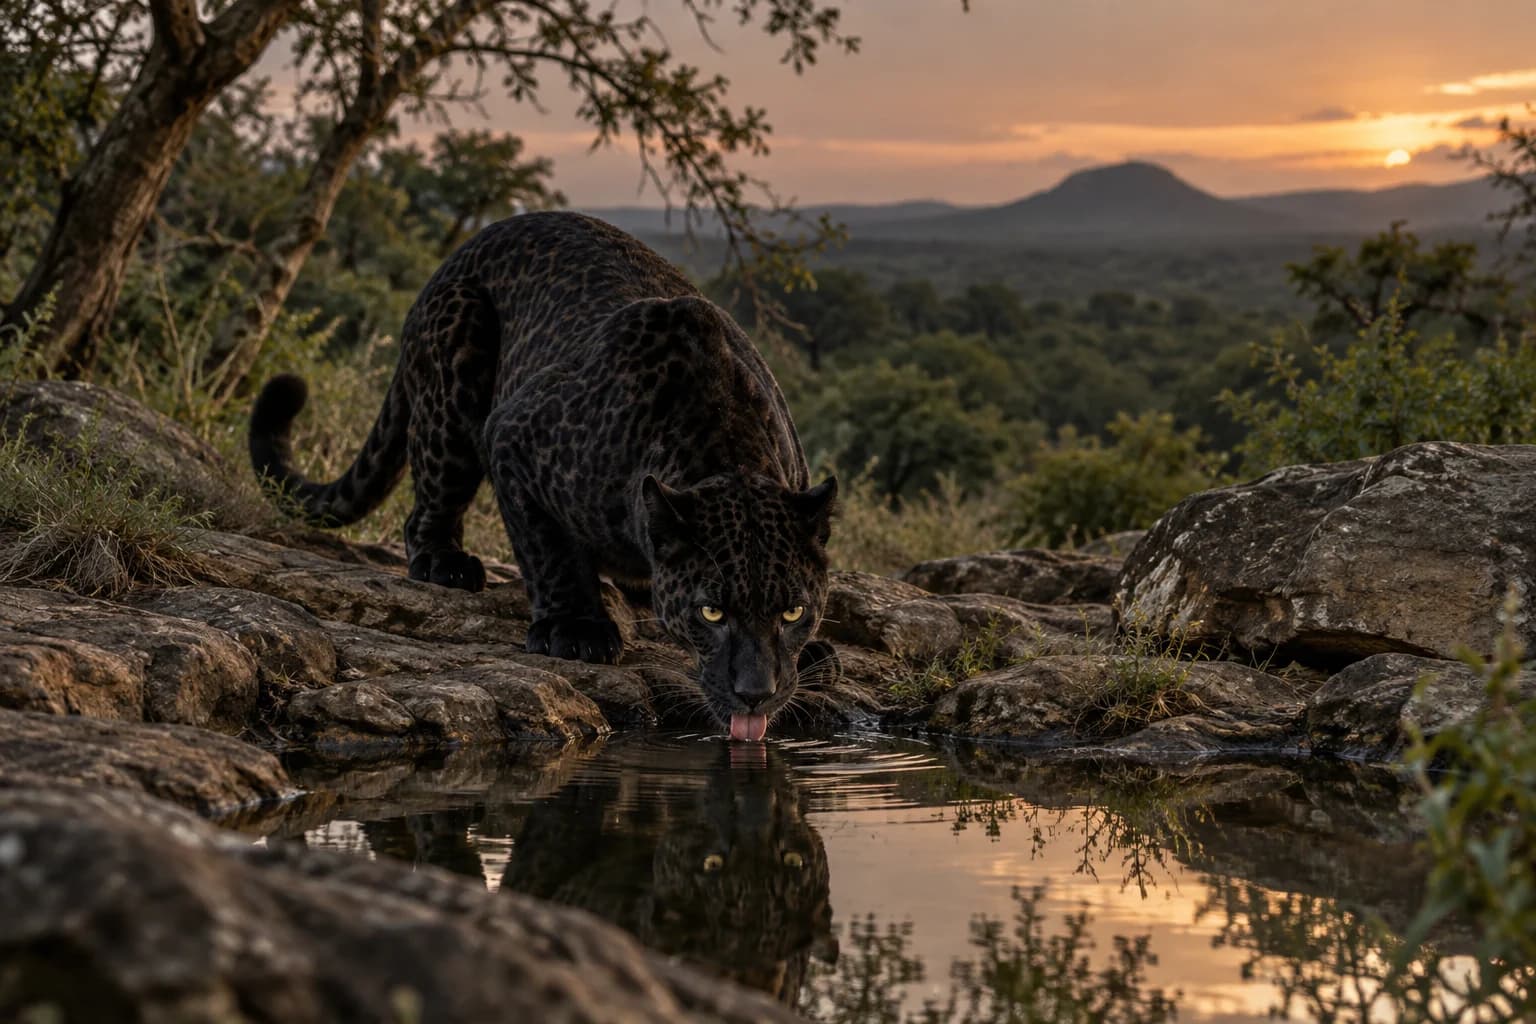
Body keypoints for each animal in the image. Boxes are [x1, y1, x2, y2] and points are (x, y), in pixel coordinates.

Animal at [249, 211, 836, 740]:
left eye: (793, 612)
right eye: (712, 612)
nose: (756, 693)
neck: (724, 447)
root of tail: (457, 256)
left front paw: (815, 652)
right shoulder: (513, 441)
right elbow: (550, 552)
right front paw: (574, 630)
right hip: (456, 378)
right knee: (427, 507)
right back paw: (446, 564)